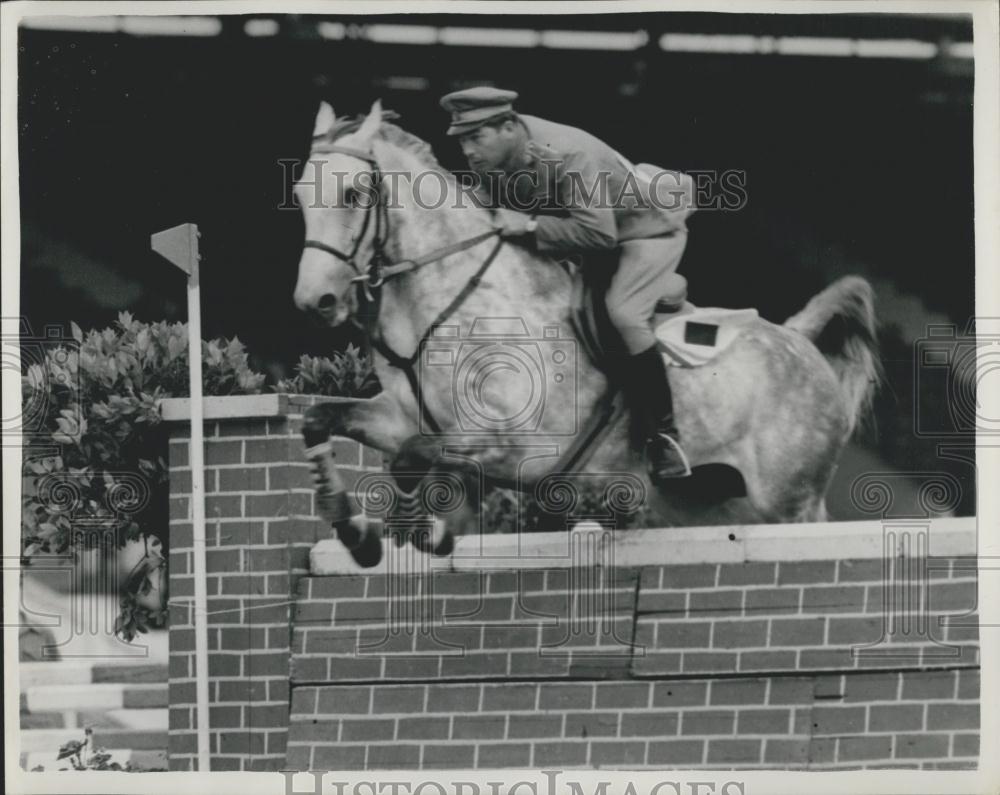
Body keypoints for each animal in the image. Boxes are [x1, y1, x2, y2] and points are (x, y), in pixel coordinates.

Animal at [292, 101, 880, 564]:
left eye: (353, 193)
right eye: (298, 195)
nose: (315, 302)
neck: (454, 298)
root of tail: (798, 340)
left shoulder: (518, 447)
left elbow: (412, 456)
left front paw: (420, 533)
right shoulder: (397, 419)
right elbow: (324, 421)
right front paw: (357, 532)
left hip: (786, 503)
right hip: (701, 504)